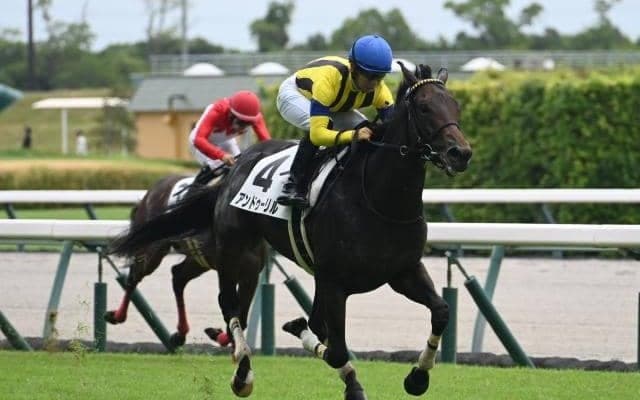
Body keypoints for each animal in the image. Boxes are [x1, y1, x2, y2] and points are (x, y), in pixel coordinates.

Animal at [104, 174, 253, 348]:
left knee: (178, 276)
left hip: (198, 260)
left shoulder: (249, 271)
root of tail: (150, 192)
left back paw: (181, 334)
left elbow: (240, 315)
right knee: (135, 276)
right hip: (152, 250)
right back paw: (117, 315)